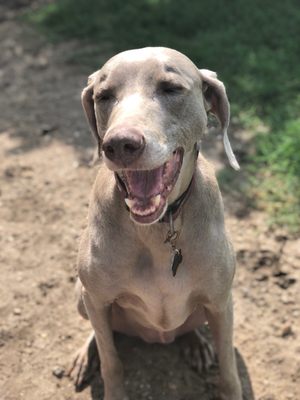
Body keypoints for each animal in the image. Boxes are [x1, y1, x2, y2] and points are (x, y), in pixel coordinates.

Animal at [69, 47, 243, 400]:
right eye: (103, 96)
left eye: (170, 88)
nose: (120, 144)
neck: (159, 228)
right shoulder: (97, 299)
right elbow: (111, 362)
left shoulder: (221, 303)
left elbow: (229, 370)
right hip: (83, 296)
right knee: (100, 332)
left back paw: (195, 343)